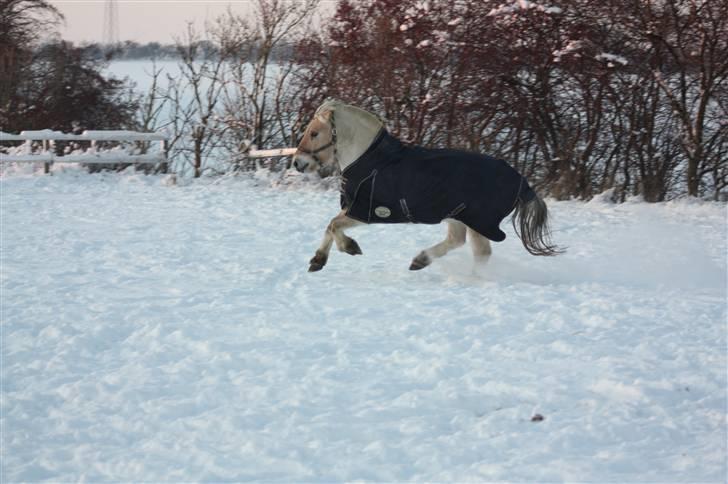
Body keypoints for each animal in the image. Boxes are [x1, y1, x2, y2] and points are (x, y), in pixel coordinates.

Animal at [292, 100, 564, 272]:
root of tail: (522, 182)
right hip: (458, 216)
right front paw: (317, 262)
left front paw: (351, 248)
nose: (298, 163)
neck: (372, 160)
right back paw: (420, 261)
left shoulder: (366, 211)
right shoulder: (354, 209)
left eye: (314, 133)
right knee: (458, 241)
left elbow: (333, 225)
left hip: (478, 222)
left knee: (481, 253)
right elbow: (330, 226)